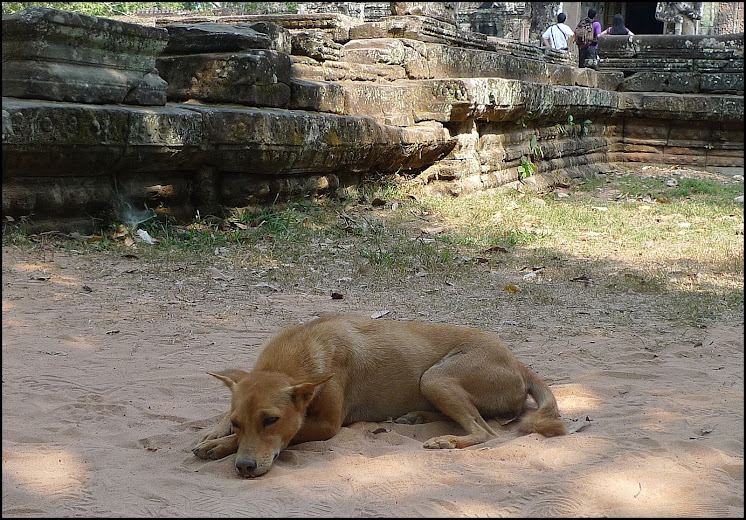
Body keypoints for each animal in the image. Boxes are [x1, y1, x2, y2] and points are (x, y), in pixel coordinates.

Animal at [192, 314, 564, 478]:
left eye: (271, 420)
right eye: (238, 422)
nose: (245, 467)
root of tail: (519, 363)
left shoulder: (327, 426)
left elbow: (290, 434)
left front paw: (221, 447)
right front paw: (214, 435)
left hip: (435, 378)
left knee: (485, 431)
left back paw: (447, 441)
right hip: (434, 384)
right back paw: (418, 417)